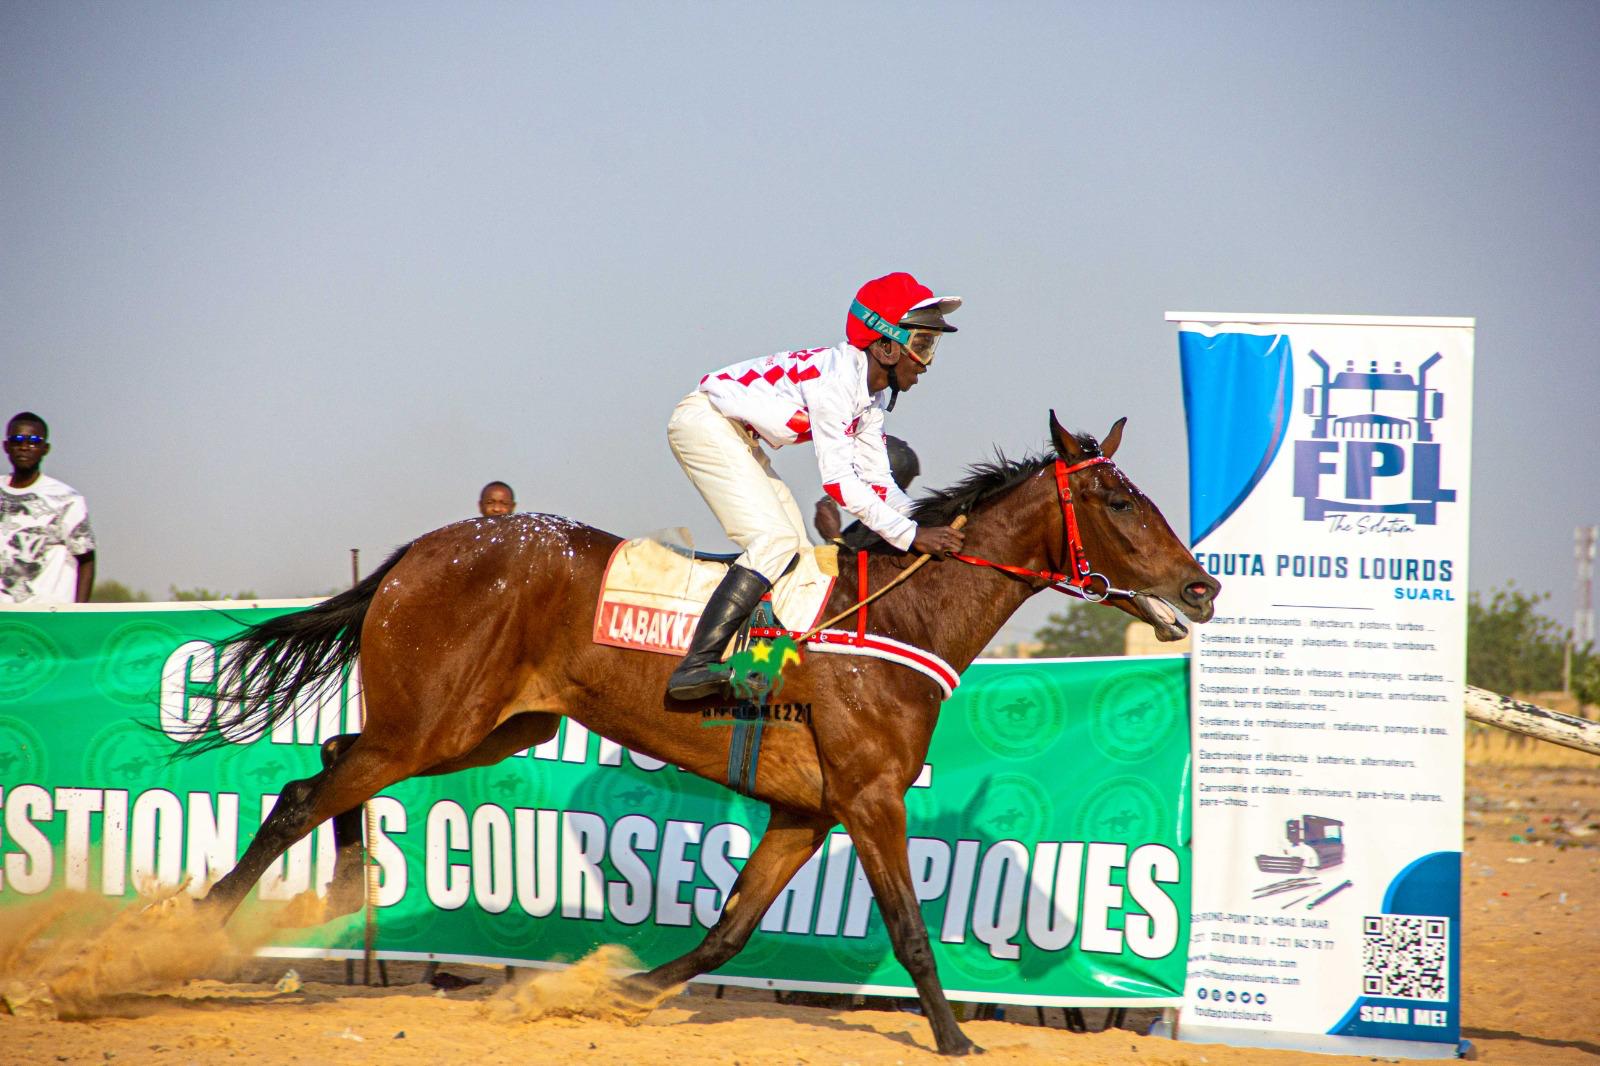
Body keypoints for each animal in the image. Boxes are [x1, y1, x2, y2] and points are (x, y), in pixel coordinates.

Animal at [186, 412, 1218, 1056]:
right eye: (1122, 502)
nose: (1203, 586)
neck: (899, 613)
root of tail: (422, 550)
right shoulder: (870, 798)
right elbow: (910, 930)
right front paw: (957, 1038)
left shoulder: (807, 811)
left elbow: (728, 933)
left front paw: (607, 991)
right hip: (434, 722)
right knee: (308, 792)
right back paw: (194, 934)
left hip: (489, 728)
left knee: (328, 767)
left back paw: (341, 886)